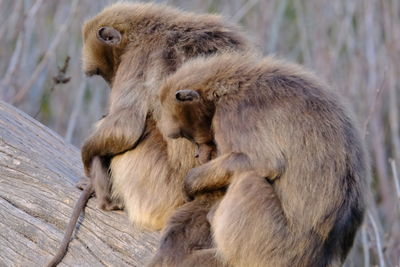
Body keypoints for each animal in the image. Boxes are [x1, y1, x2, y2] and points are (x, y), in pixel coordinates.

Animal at [158, 52, 368, 267]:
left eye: (187, 136)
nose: (198, 154)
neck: (230, 85)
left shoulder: (233, 114)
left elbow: (264, 163)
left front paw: (190, 182)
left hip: (273, 245)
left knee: (248, 181)